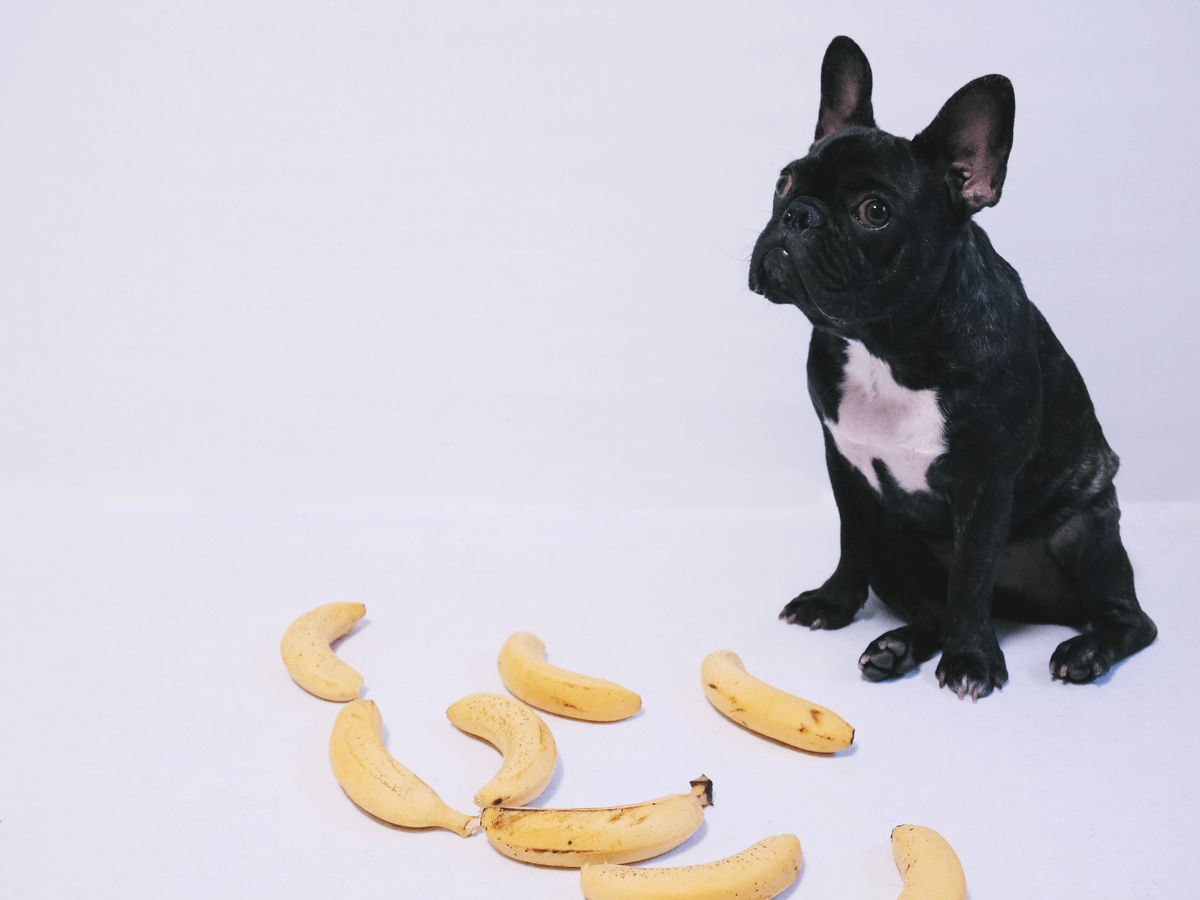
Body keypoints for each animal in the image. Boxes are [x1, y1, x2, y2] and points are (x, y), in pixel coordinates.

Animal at [748, 35, 1152, 700]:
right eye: (783, 182)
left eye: (875, 210)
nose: (797, 215)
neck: (887, 346)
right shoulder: (846, 466)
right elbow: (851, 539)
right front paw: (834, 602)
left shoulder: (985, 483)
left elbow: (970, 575)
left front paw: (971, 660)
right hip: (897, 543)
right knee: (929, 604)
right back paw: (894, 646)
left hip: (1083, 533)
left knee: (1129, 619)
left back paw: (1085, 651)